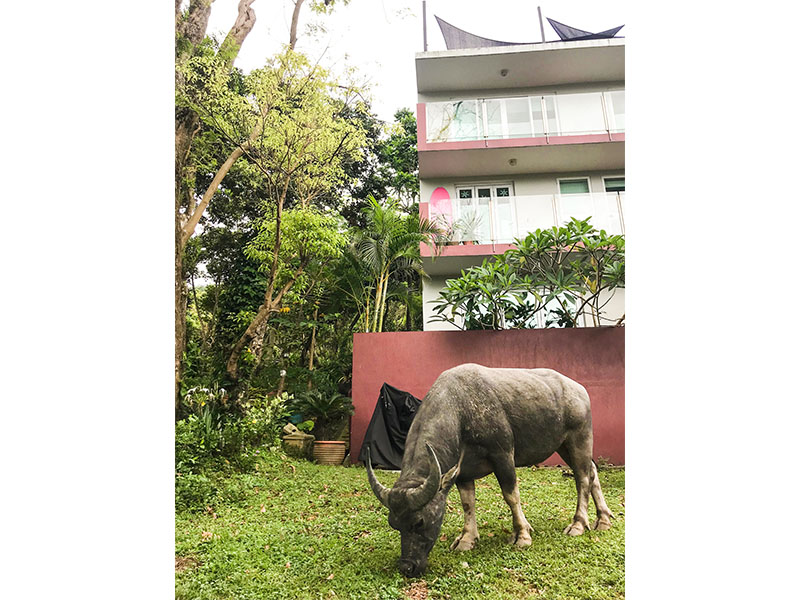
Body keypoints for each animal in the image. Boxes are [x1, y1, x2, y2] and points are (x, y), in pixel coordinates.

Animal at [366, 360, 616, 576]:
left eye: (419, 521)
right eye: (393, 524)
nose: (407, 566)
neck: (461, 409)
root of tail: (579, 389)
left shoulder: (503, 454)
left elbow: (511, 495)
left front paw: (522, 535)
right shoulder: (462, 471)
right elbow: (468, 503)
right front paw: (467, 539)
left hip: (579, 438)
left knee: (582, 478)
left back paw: (578, 524)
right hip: (563, 445)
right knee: (592, 471)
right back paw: (603, 520)